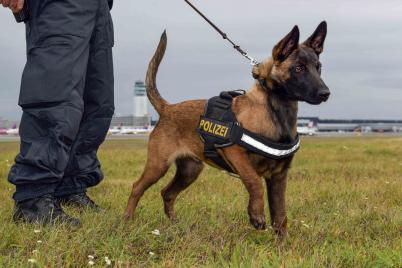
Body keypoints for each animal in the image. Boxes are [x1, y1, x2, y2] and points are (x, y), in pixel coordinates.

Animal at [125, 21, 330, 237]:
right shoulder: (235, 153)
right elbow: (254, 182)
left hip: (190, 170)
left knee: (167, 193)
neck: (275, 111)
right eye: (298, 68)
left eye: (318, 68)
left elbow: (280, 216)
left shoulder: (279, 177)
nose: (326, 93)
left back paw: (176, 224)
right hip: (158, 166)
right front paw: (256, 215)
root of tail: (167, 108)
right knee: (137, 187)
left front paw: (283, 242)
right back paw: (127, 221)